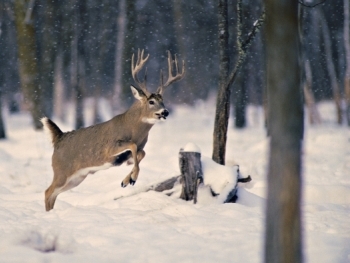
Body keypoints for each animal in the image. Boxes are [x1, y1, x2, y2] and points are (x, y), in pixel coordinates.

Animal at [42, 50, 185, 212]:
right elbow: (133, 146)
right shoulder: (109, 148)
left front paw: (126, 180)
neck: (133, 129)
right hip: (61, 171)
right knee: (48, 191)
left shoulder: (138, 148)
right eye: (151, 101)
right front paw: (132, 178)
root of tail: (59, 137)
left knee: (53, 194)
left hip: (77, 177)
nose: (165, 111)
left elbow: (141, 153)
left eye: (163, 100)